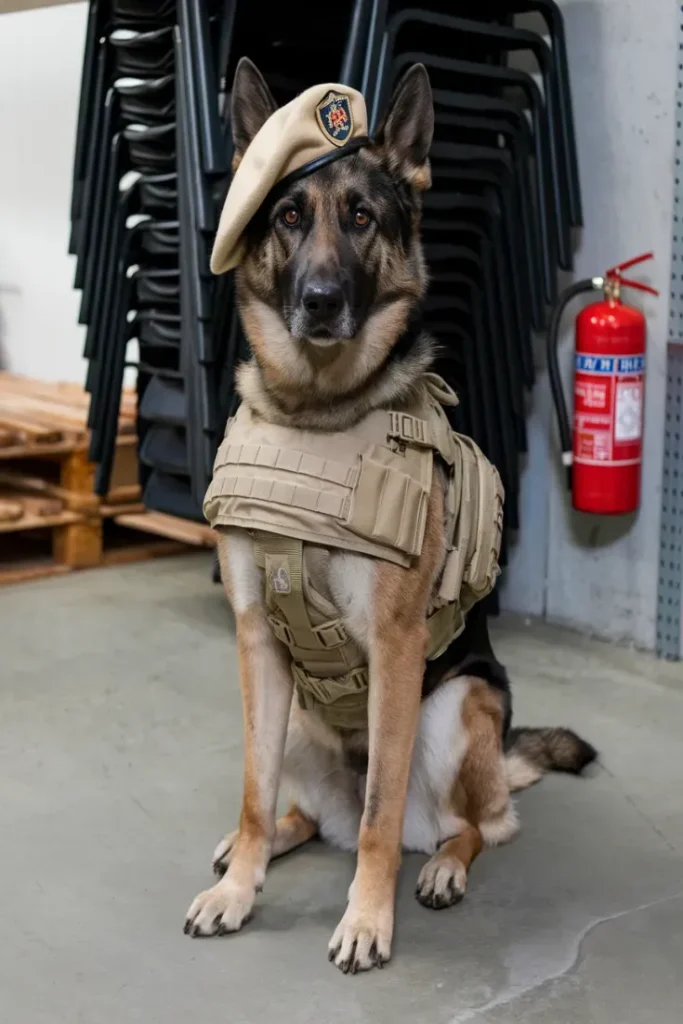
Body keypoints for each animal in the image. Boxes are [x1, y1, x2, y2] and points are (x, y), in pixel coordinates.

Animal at [184, 58, 593, 974]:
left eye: (362, 217)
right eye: (288, 216)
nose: (319, 301)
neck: (314, 413)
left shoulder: (399, 649)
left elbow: (379, 813)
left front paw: (367, 920)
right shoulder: (255, 639)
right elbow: (254, 791)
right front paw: (239, 888)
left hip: (459, 709)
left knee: (471, 823)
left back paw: (441, 866)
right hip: (297, 717)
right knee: (304, 812)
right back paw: (255, 847)